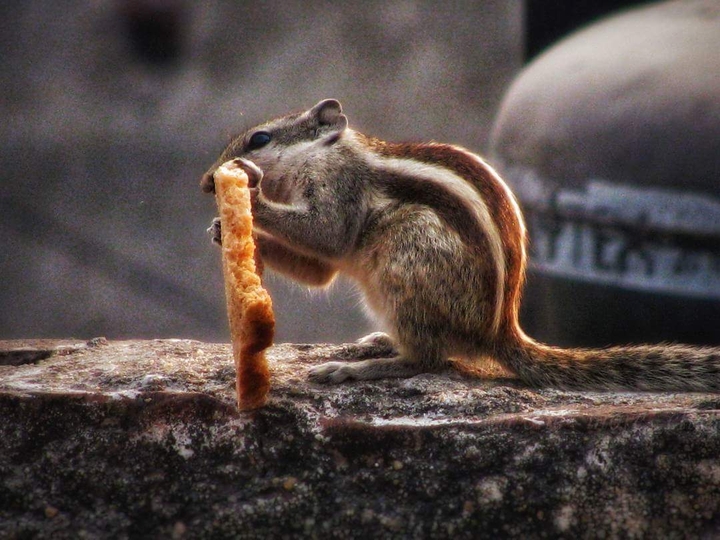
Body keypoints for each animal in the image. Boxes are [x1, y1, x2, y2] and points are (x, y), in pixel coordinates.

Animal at [201, 99, 720, 392]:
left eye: (260, 139)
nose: (208, 181)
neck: (327, 153)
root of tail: (496, 333)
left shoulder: (339, 191)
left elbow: (325, 233)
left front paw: (249, 195)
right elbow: (318, 269)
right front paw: (229, 233)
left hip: (407, 256)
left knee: (428, 360)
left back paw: (358, 369)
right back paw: (376, 343)